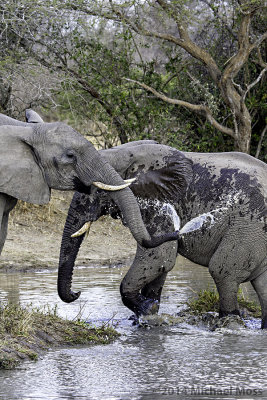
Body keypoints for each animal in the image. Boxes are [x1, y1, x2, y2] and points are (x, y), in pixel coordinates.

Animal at [57, 141, 267, 328]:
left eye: (97, 190)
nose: (77, 293)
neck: (128, 152)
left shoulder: (157, 203)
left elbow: (158, 256)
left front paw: (148, 310)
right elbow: (161, 264)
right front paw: (149, 315)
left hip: (249, 225)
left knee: (223, 270)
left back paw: (229, 322)